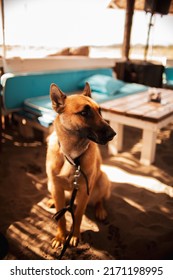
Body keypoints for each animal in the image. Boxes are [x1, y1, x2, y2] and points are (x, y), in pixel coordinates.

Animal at [46, 82, 116, 248]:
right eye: (84, 113)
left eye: (100, 111)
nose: (113, 134)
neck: (72, 155)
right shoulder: (57, 187)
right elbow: (61, 218)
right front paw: (60, 237)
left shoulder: (84, 191)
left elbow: (77, 216)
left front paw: (74, 235)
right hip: (49, 184)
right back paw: (52, 201)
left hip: (103, 180)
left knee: (100, 199)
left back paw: (100, 210)